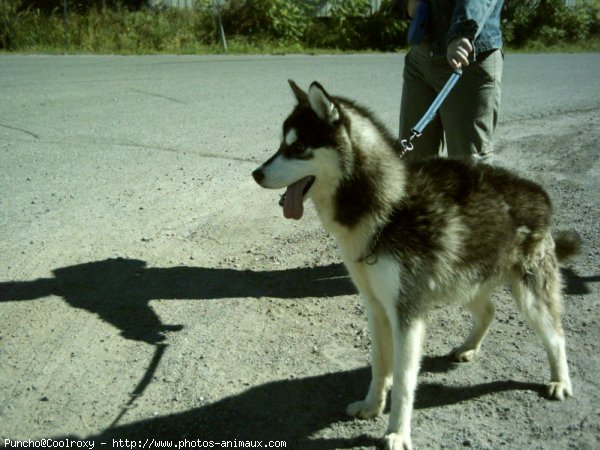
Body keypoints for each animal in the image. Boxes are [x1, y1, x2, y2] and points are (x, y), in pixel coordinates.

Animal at [251, 81, 580, 450]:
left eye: (298, 147)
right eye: (282, 144)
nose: (256, 174)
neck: (387, 206)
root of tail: (538, 192)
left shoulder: (407, 314)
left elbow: (404, 380)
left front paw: (397, 431)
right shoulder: (376, 307)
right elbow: (379, 366)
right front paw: (372, 404)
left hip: (529, 296)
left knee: (556, 335)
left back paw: (560, 380)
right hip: (464, 282)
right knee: (489, 310)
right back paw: (468, 347)